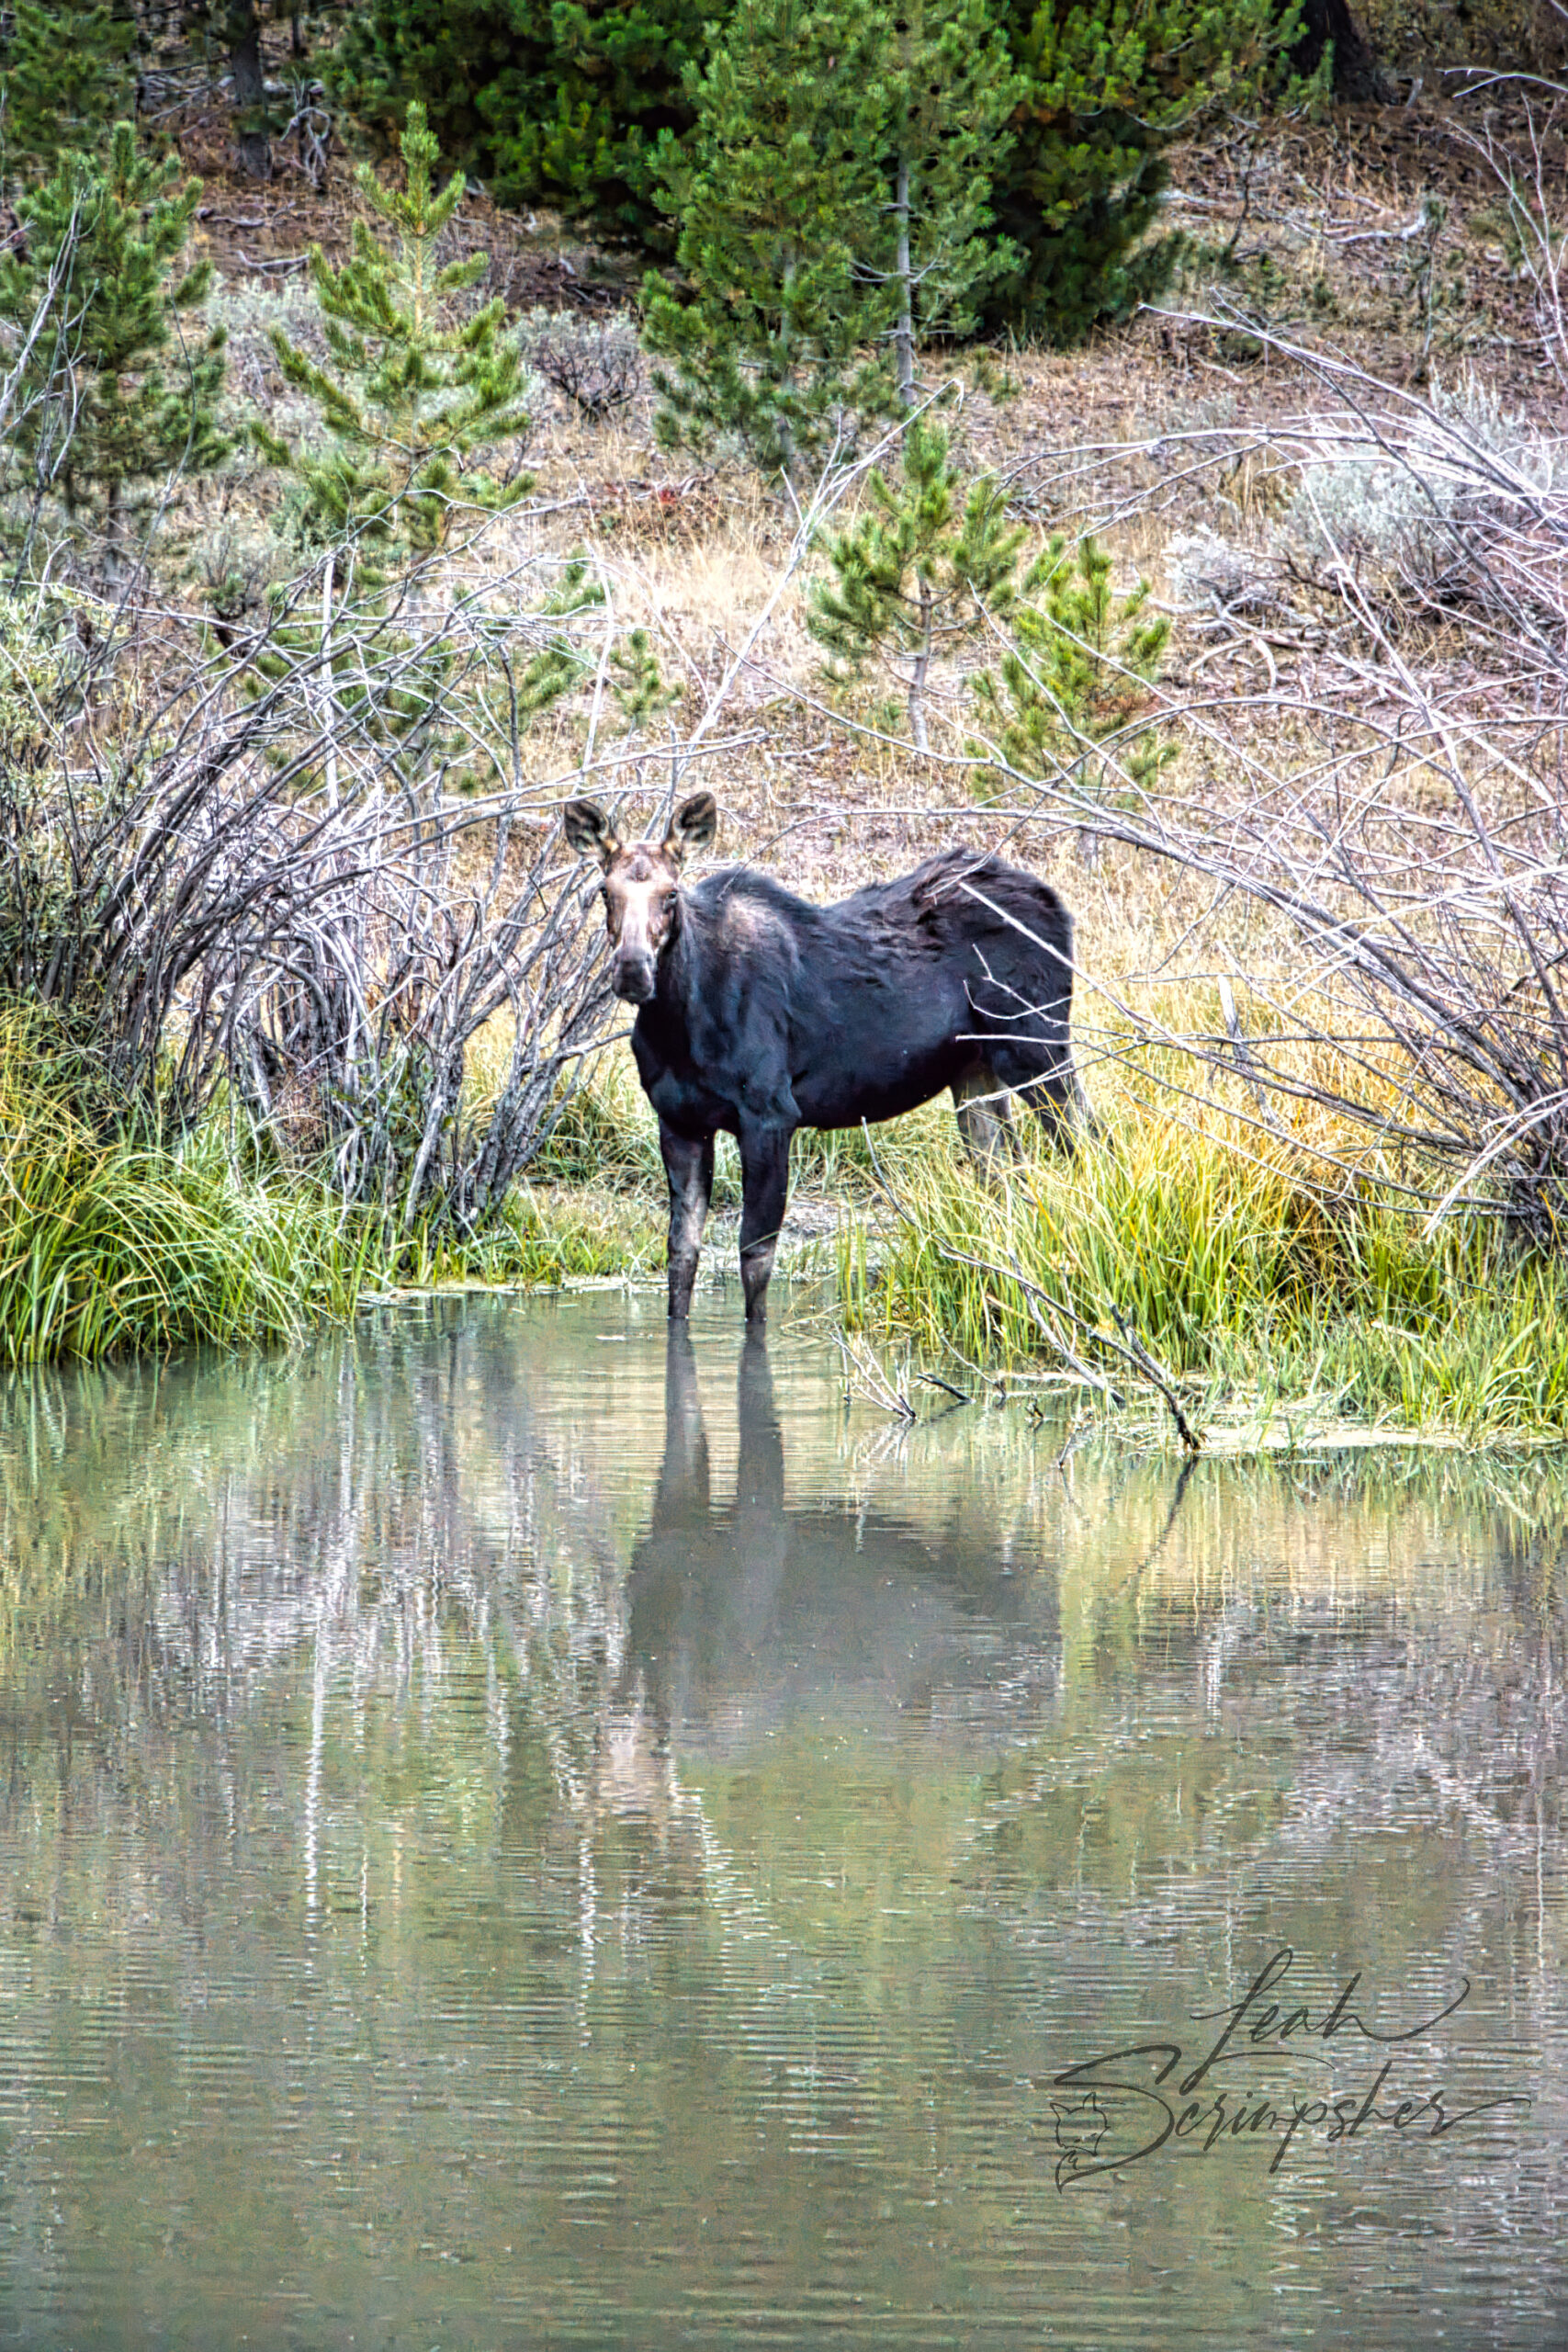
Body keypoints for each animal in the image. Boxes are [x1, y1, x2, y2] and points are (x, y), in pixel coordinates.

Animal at [563, 791, 1081, 1324]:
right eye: (604, 892)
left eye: (671, 894)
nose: (632, 970)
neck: (679, 1024)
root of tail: (1059, 906)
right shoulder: (678, 1120)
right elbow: (681, 1255)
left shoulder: (771, 1114)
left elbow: (756, 1257)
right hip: (974, 1070)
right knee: (1002, 1182)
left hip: (1037, 1045)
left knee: (1085, 1146)